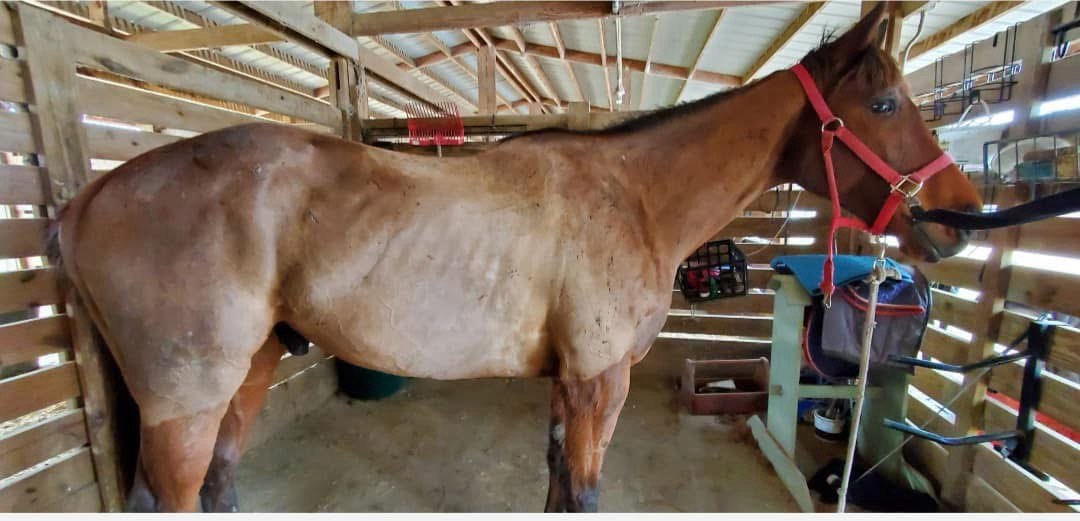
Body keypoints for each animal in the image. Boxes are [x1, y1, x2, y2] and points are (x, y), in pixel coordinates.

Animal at [50, 4, 980, 512]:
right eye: (886, 103)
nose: (961, 217)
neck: (633, 194)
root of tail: (88, 200)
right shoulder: (600, 381)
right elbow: (586, 489)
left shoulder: (570, 383)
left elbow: (559, 482)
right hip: (186, 401)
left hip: (247, 372)